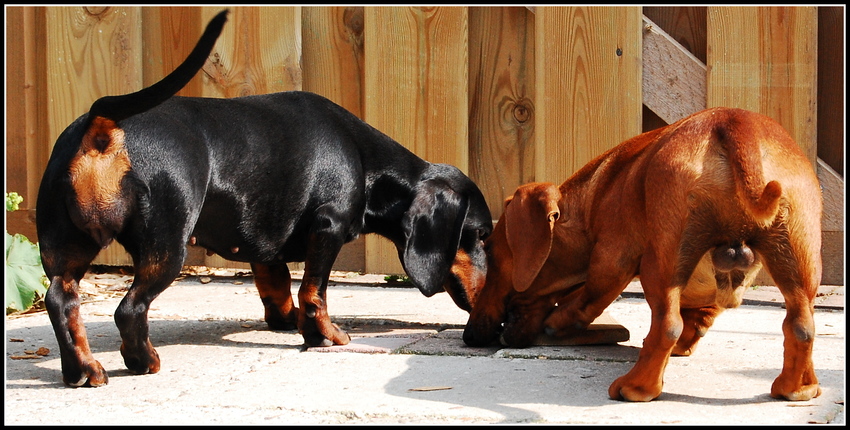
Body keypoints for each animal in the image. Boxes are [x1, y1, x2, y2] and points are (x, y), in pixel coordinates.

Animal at [36, 10, 492, 387]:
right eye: (482, 235)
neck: (365, 158)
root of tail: (105, 126)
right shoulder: (327, 227)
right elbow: (314, 293)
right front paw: (324, 335)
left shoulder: (264, 246)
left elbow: (278, 287)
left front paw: (286, 321)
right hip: (166, 247)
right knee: (129, 309)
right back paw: (142, 360)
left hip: (68, 246)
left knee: (61, 300)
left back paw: (82, 369)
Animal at [463, 107, 823, 402]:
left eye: (490, 252)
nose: (468, 335)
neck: (590, 201)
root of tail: (735, 123)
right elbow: (698, 320)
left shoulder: (610, 261)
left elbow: (587, 299)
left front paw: (558, 321)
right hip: (797, 258)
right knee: (801, 325)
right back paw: (799, 387)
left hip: (661, 262)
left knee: (667, 325)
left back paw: (636, 387)